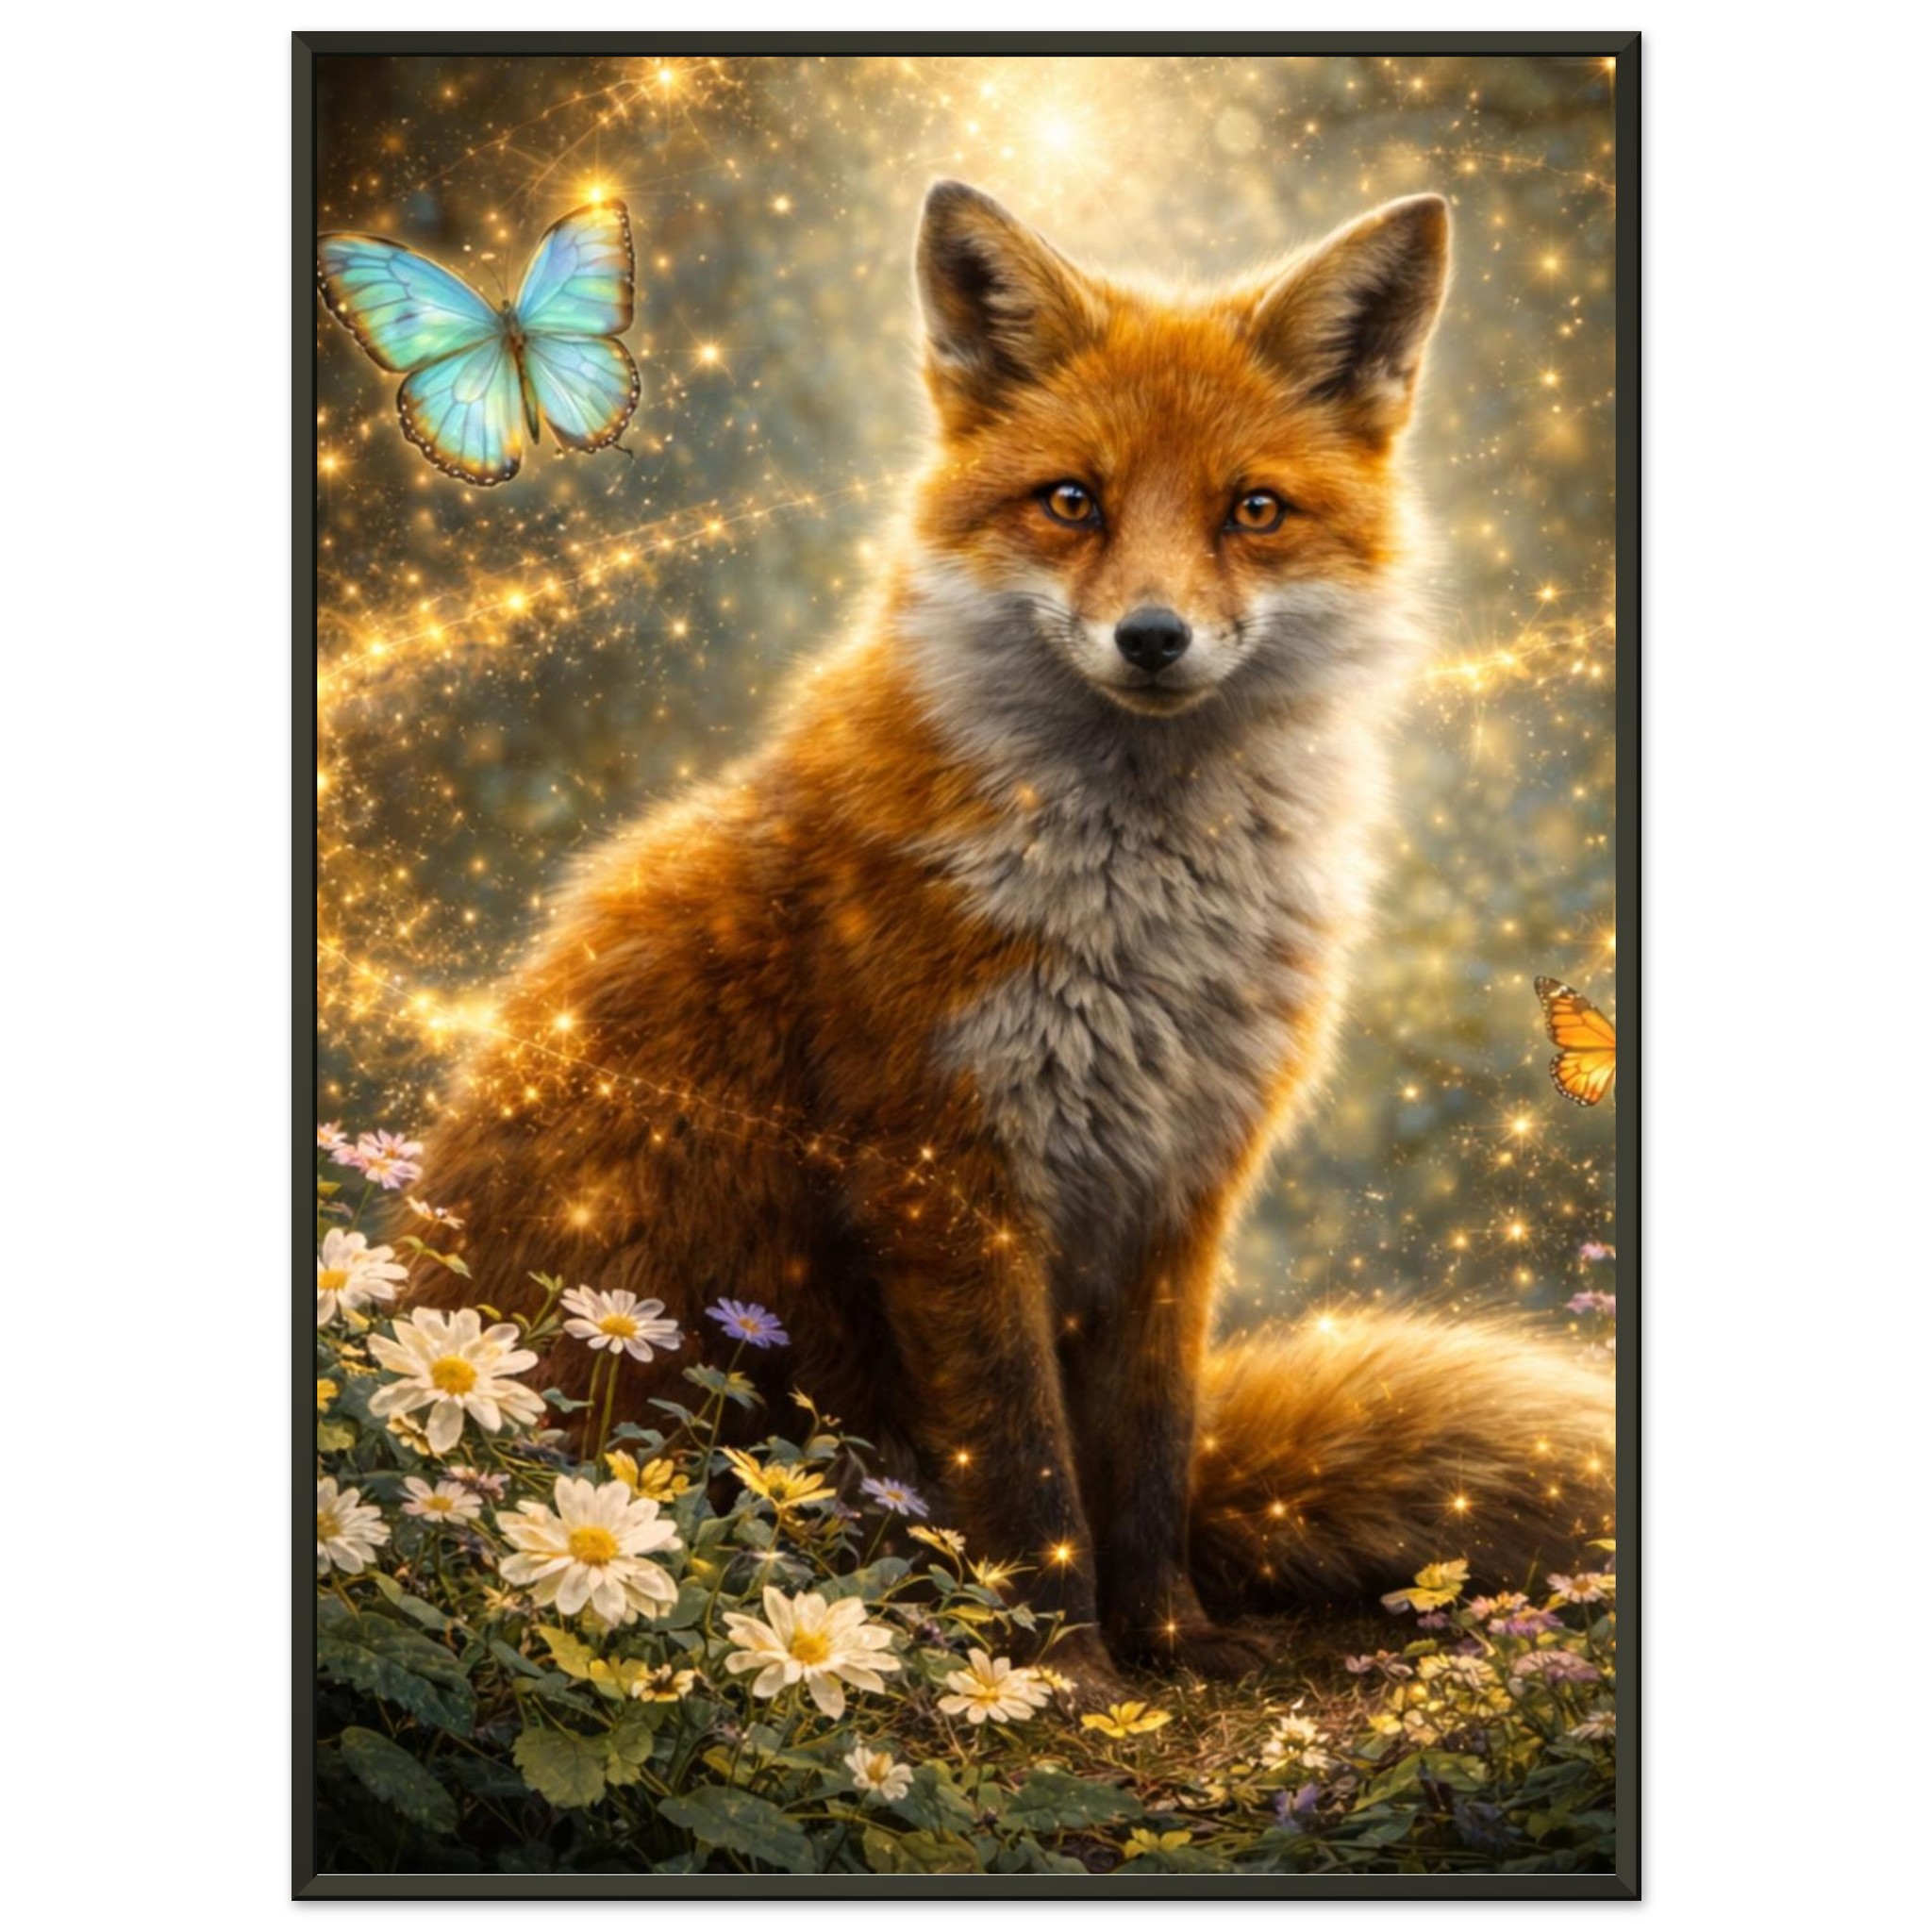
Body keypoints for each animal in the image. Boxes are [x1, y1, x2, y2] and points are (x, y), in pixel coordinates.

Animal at [405, 182, 1615, 1689]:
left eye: (1253, 511)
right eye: (1071, 502)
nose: (1152, 637)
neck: (1151, 921)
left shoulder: (1178, 1185)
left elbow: (1148, 1462)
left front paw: (1172, 1642)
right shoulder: (944, 1178)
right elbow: (1030, 1476)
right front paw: (1061, 1676)